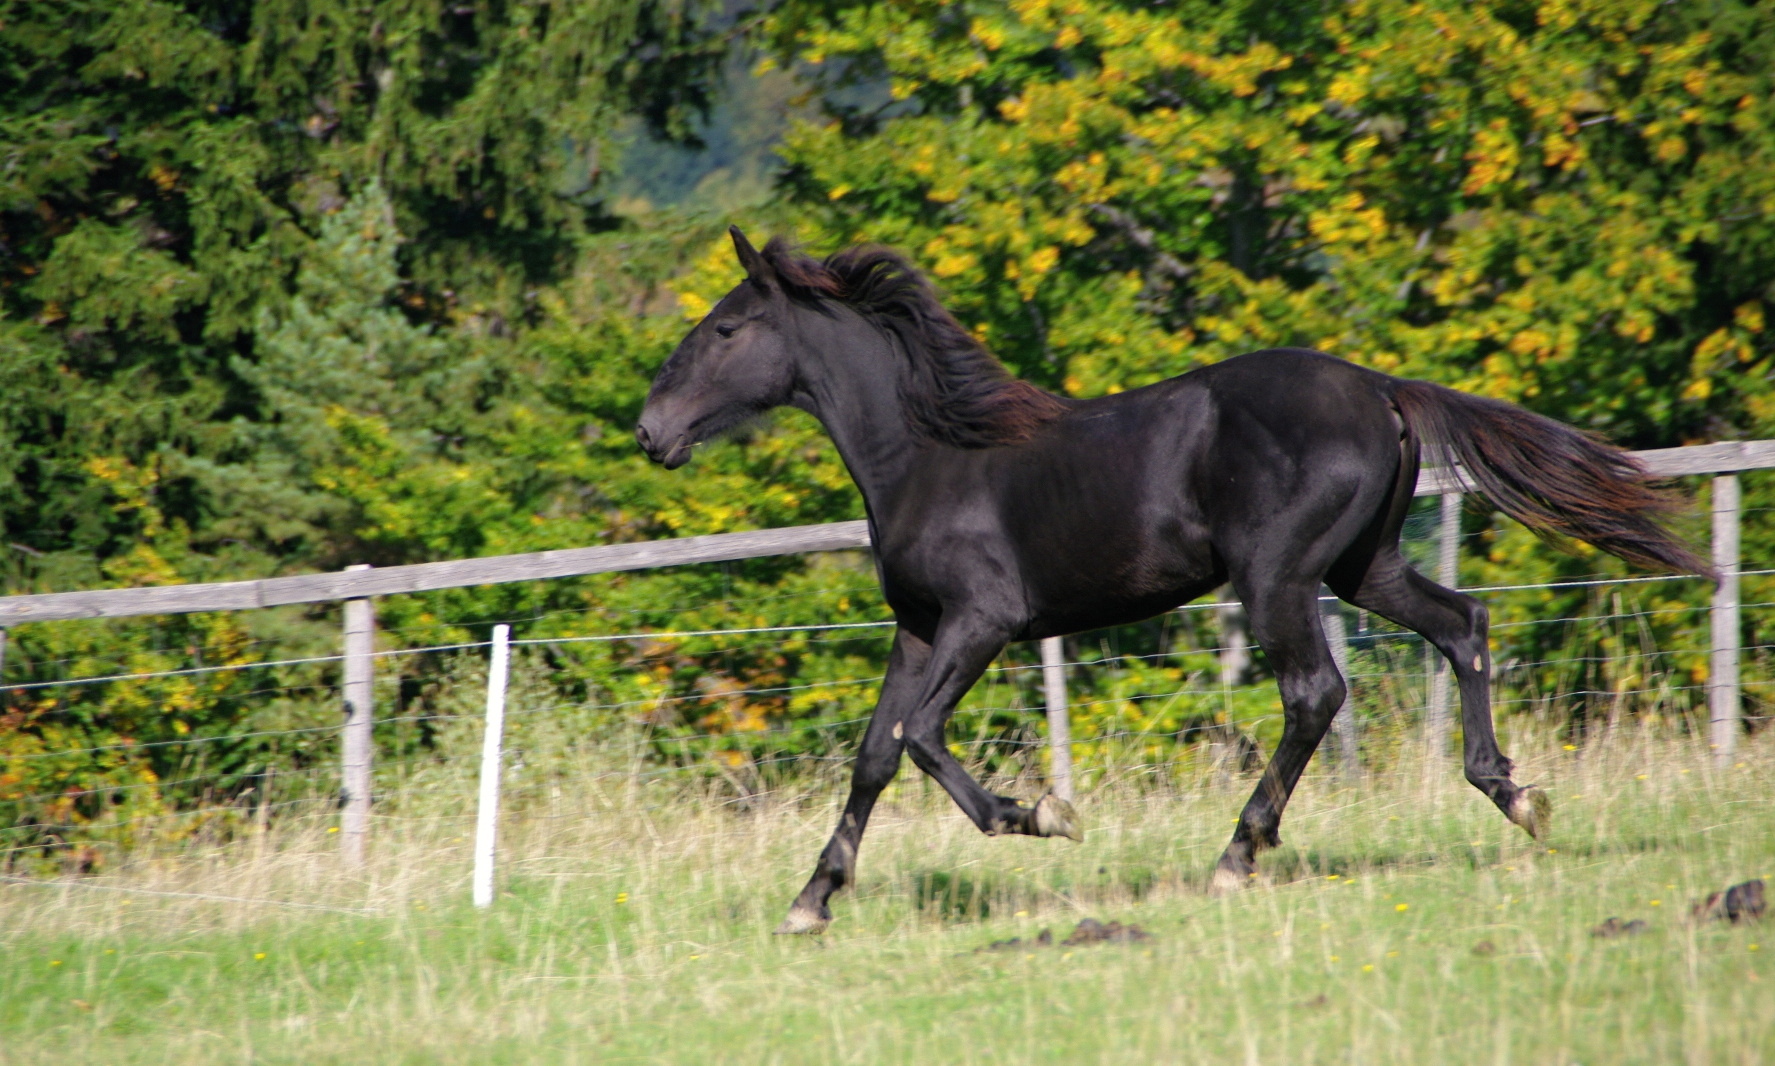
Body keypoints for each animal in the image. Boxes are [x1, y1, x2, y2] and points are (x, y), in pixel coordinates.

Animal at [639, 226, 1704, 929]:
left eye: (726, 328)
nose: (650, 433)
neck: (927, 453)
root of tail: (1380, 390)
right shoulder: (918, 625)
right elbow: (873, 755)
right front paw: (811, 900)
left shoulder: (984, 619)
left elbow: (922, 738)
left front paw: (1042, 814)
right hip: (1361, 566)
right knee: (1462, 628)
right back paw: (1514, 797)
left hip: (1276, 577)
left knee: (1315, 692)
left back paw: (1236, 856)